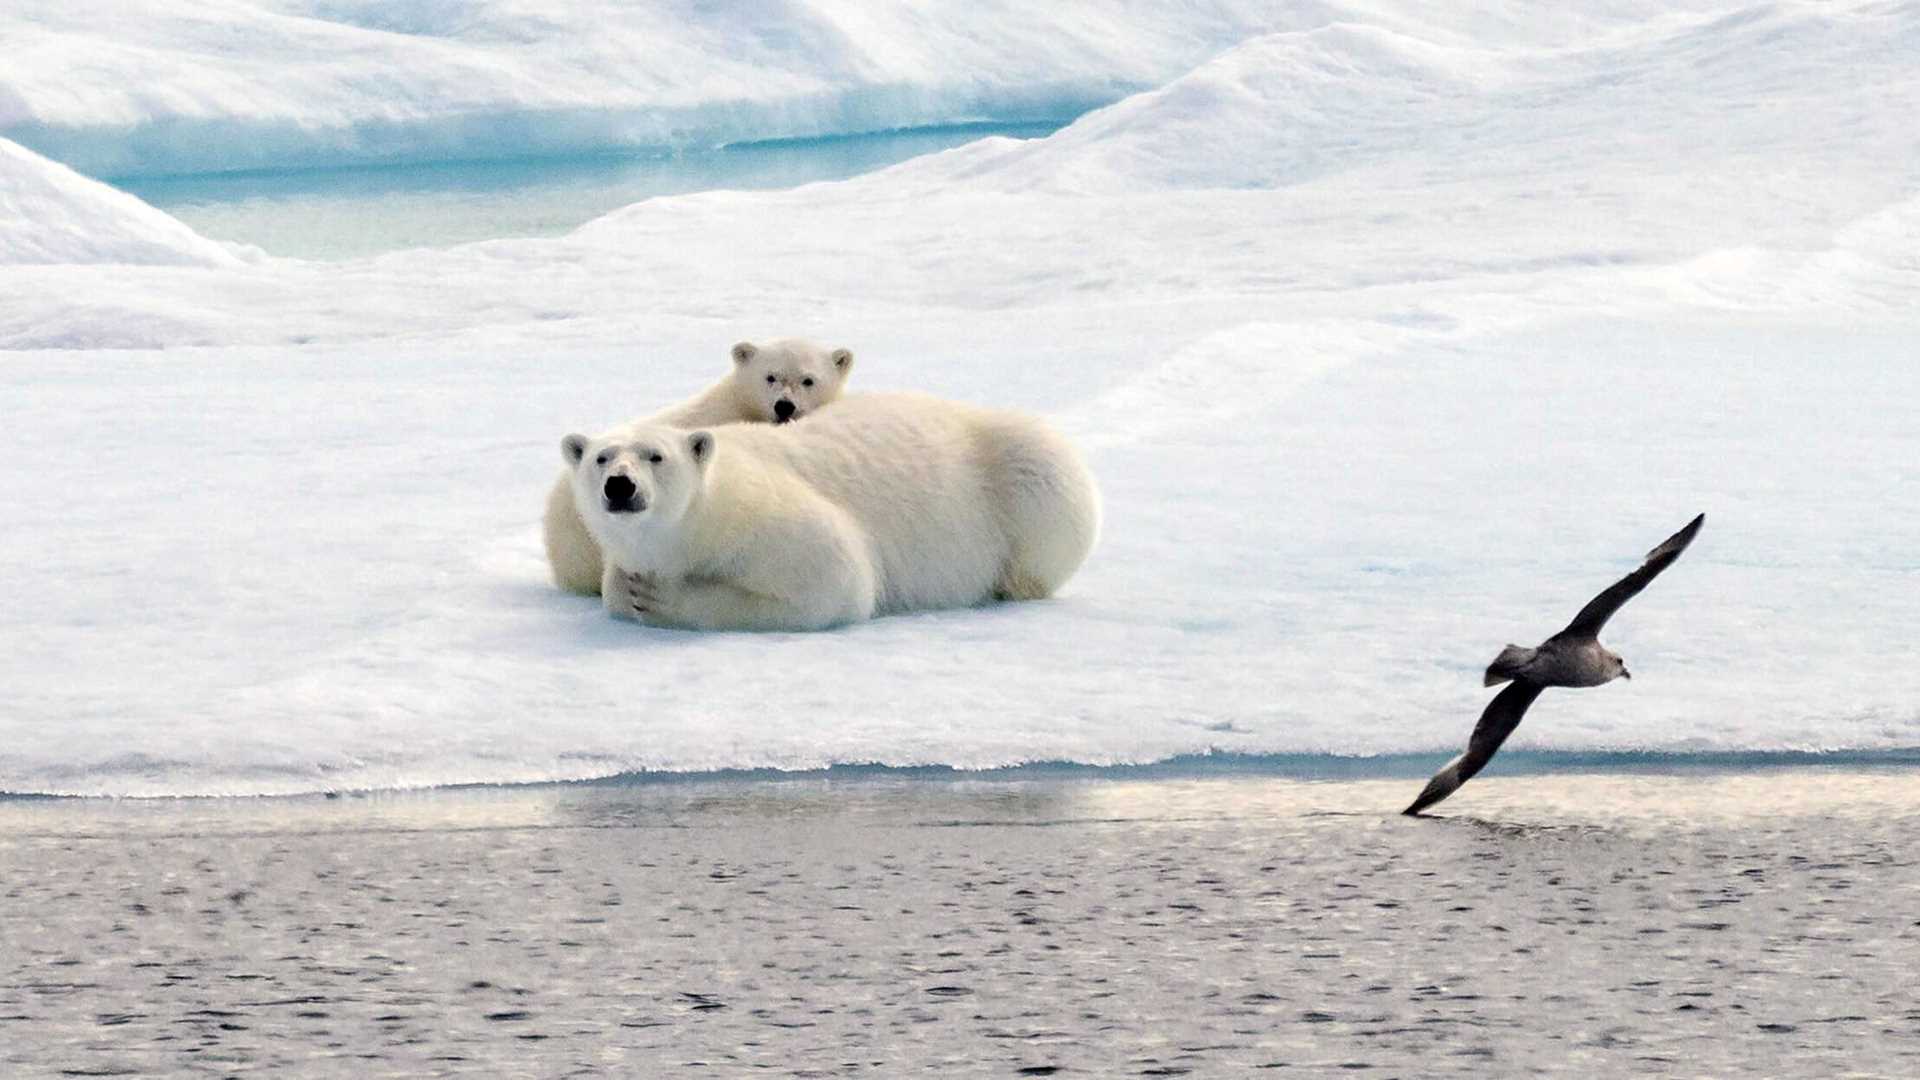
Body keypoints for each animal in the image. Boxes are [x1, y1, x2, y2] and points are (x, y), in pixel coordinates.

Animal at [560, 390, 1098, 630]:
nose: (620, 486)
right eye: (601, 457)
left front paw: (661, 597)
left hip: (1021, 476)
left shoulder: (759, 520)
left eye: (655, 456)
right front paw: (631, 588)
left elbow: (833, 580)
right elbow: (612, 587)